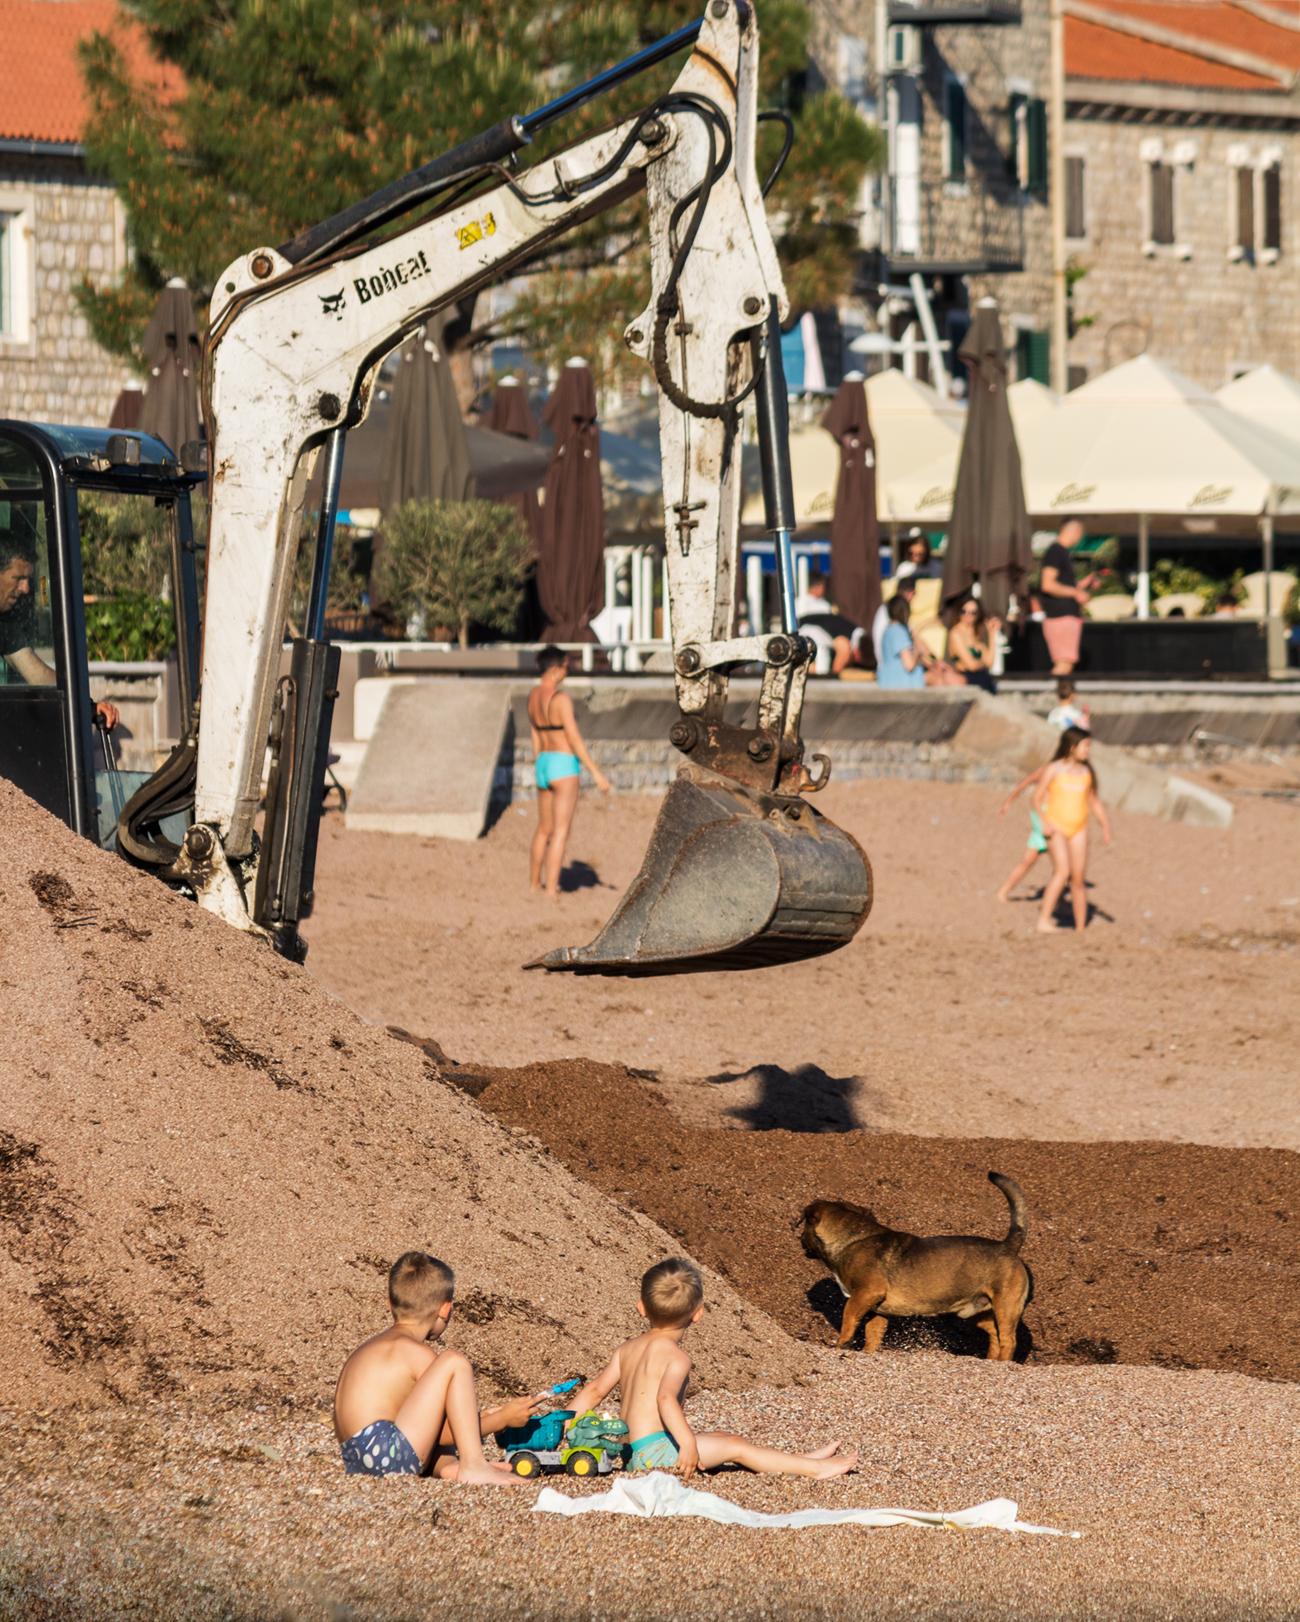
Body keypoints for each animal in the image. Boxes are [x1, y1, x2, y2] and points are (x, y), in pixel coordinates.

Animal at [795, 1174, 1032, 1362]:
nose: (799, 1240)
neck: (854, 1238)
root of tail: (1008, 1246)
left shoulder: (863, 1295)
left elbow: (847, 1322)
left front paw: (841, 1345)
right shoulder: (876, 1310)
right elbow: (873, 1336)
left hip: (1005, 1307)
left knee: (1008, 1341)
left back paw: (1003, 1364)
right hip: (976, 1311)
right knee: (995, 1336)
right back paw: (991, 1362)